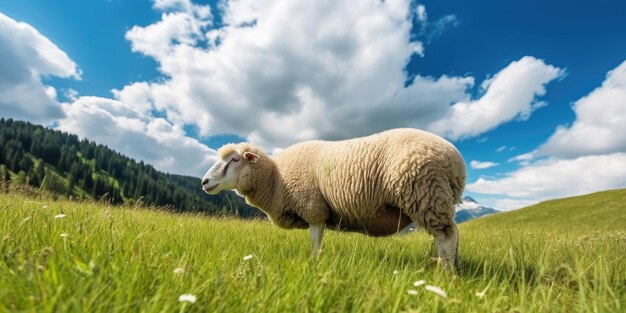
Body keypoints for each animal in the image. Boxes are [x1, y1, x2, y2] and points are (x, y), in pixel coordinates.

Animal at [200, 128, 464, 270]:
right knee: (452, 234)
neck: (275, 177)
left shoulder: (313, 207)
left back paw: (446, 273)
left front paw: (314, 264)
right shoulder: (319, 211)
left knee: (446, 235)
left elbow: (315, 242)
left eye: (235, 160)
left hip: (426, 190)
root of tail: (455, 161)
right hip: (436, 196)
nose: (204, 182)